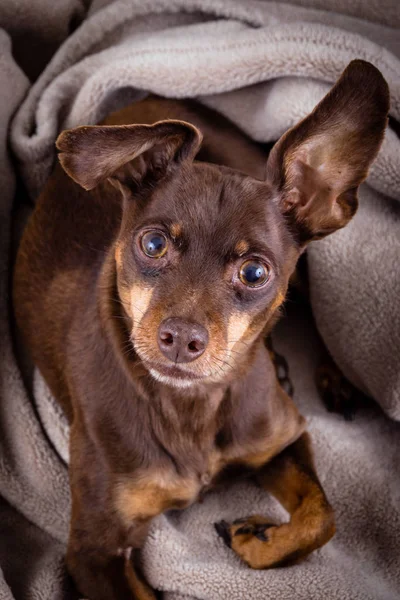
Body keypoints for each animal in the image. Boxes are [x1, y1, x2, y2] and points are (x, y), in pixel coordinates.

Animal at [14, 62, 390, 600]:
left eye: (254, 273)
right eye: (152, 244)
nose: (181, 339)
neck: (192, 405)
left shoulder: (284, 439)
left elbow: (323, 516)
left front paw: (255, 539)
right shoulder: (94, 553)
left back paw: (330, 377)